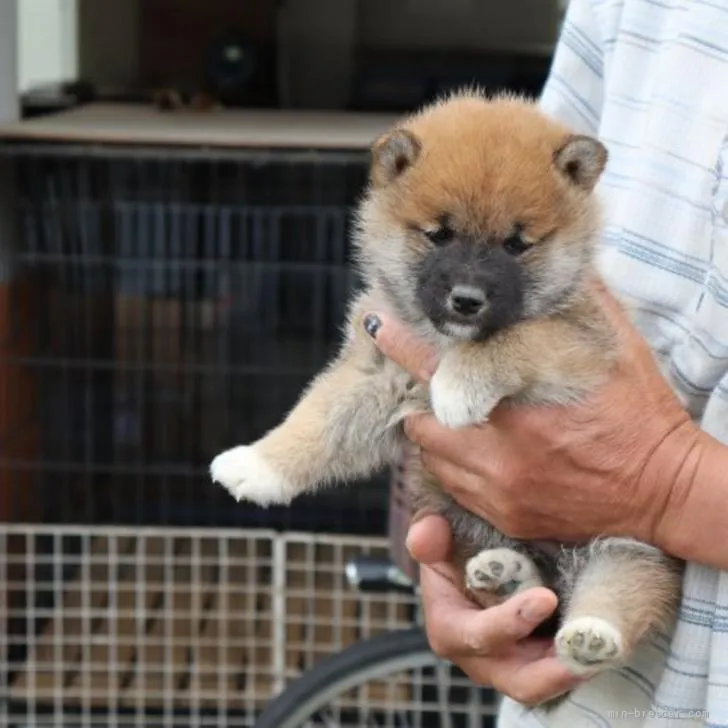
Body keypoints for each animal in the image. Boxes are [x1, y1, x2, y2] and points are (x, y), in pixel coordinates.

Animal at [209, 89, 684, 688]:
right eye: (438, 234)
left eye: (516, 244)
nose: (467, 299)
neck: (442, 338)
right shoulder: (378, 372)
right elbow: (316, 420)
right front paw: (256, 464)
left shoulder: (579, 343)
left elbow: (518, 337)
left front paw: (458, 383)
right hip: (467, 530)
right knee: (536, 603)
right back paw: (506, 576)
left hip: (629, 548)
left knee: (612, 594)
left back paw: (591, 636)